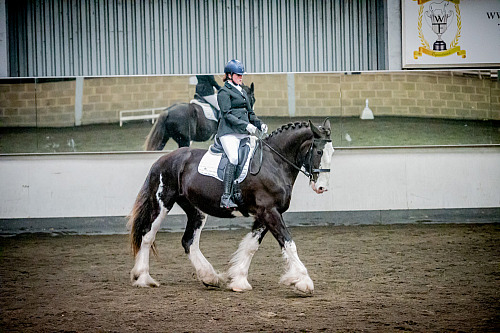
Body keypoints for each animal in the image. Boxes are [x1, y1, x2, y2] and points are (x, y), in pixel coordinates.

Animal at [127, 118, 334, 292]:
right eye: (319, 151)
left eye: (332, 152)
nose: (322, 187)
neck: (274, 163)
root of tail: (162, 160)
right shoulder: (270, 212)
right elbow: (289, 243)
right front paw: (304, 281)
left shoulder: (264, 215)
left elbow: (251, 246)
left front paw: (239, 280)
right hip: (162, 204)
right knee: (147, 236)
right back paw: (144, 278)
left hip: (196, 210)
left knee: (189, 241)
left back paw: (209, 277)